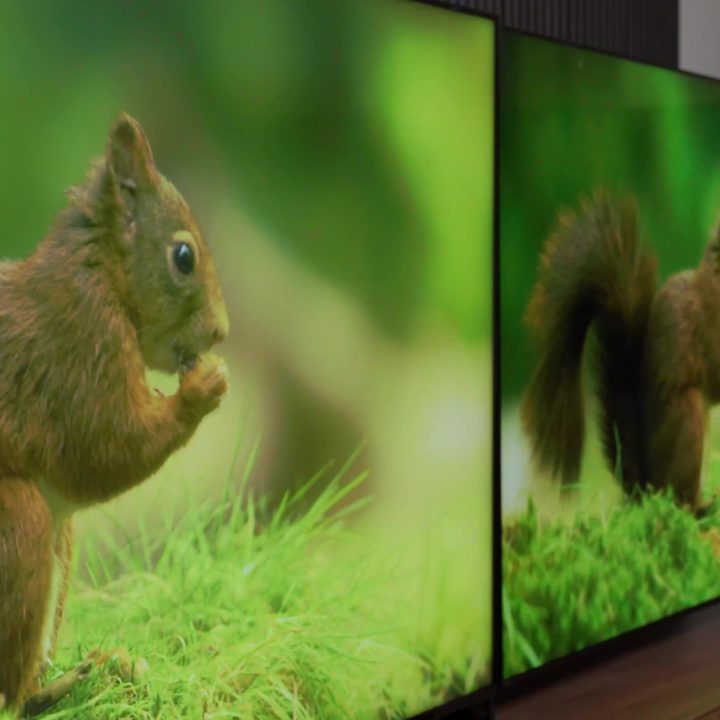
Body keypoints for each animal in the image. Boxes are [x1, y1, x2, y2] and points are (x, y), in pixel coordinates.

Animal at [0, 112, 229, 712]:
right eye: (183, 256)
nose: (221, 332)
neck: (100, 271)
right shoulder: (79, 346)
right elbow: (103, 449)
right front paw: (202, 388)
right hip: (19, 523)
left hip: (61, 544)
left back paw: (96, 669)